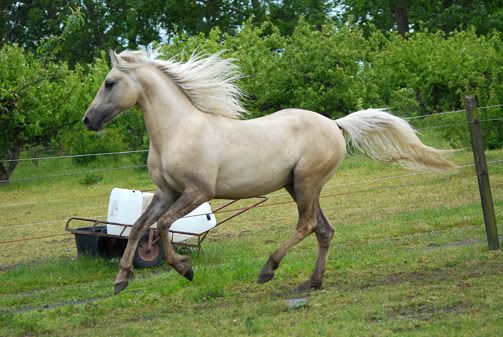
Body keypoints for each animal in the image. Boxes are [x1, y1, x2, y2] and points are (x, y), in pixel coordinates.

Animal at [81, 48, 452, 292]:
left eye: (110, 82)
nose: (88, 120)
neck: (178, 129)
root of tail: (335, 124)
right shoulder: (165, 191)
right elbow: (138, 226)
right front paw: (121, 280)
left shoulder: (197, 191)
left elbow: (162, 226)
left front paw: (186, 269)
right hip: (298, 186)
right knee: (324, 230)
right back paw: (312, 282)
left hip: (305, 183)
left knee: (307, 225)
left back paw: (268, 270)